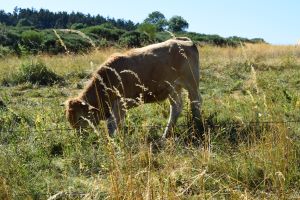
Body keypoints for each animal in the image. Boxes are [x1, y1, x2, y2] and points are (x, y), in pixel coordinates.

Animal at [64, 36, 203, 138]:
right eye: (70, 120)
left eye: (80, 118)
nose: (79, 136)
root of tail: (182, 40)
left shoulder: (119, 104)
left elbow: (112, 126)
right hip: (173, 88)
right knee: (176, 107)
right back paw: (165, 135)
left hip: (191, 82)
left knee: (195, 102)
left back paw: (198, 126)